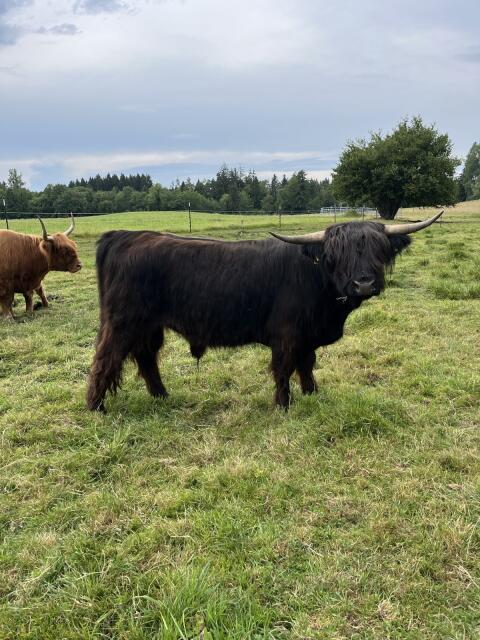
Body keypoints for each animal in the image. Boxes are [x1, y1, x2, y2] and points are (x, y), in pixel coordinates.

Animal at [86, 212, 443, 412]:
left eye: (378, 250)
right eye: (336, 255)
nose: (364, 283)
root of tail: (124, 236)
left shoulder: (307, 335)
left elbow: (306, 364)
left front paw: (312, 394)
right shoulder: (286, 334)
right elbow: (284, 368)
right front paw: (283, 406)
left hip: (148, 326)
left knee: (146, 357)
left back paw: (162, 397)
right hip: (122, 322)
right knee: (106, 359)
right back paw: (95, 407)